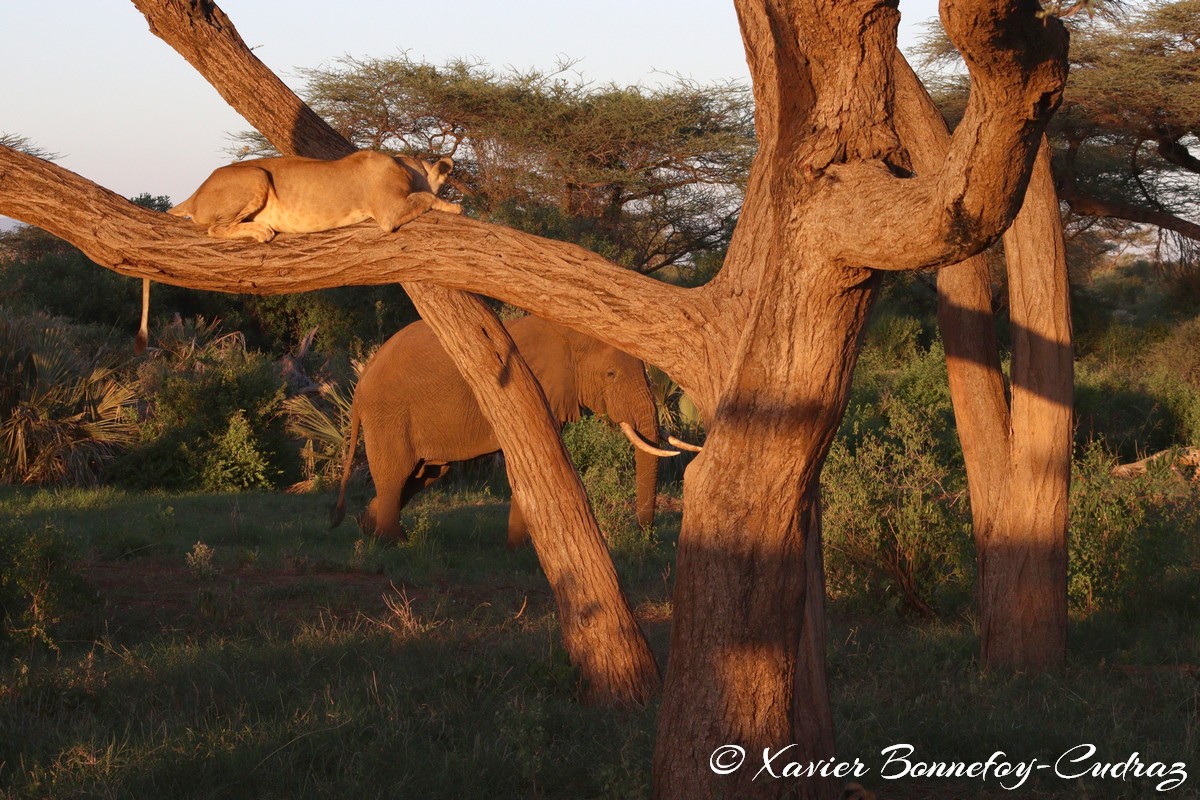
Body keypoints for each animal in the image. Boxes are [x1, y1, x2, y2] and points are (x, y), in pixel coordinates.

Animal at [135, 151, 458, 352]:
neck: (407, 164)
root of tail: (196, 192)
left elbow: (424, 196)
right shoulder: (390, 212)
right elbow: (426, 197)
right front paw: (453, 206)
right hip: (256, 175)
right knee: (215, 229)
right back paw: (261, 230)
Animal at [333, 316, 681, 546]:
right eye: (610, 374)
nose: (644, 539)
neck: (564, 333)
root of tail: (361, 383)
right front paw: (520, 549)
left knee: (422, 476)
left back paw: (368, 526)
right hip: (389, 414)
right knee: (395, 476)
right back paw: (394, 543)